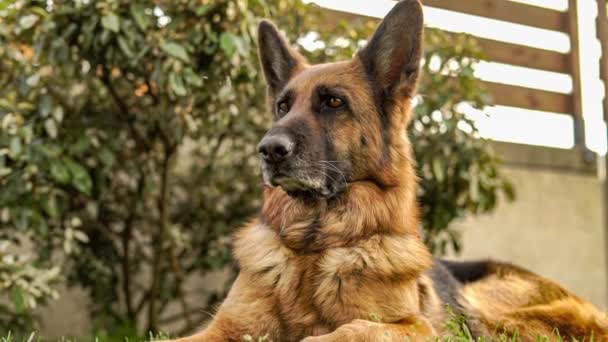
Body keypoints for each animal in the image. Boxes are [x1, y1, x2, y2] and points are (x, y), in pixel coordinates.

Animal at [169, 1, 608, 340]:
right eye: (282, 106)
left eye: (333, 102)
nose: (268, 150)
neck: (314, 245)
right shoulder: (223, 328)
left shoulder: (414, 326)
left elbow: (351, 330)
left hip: (490, 310)